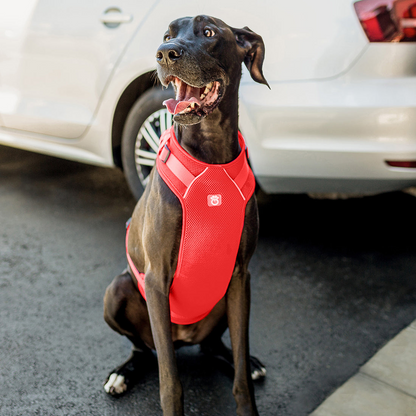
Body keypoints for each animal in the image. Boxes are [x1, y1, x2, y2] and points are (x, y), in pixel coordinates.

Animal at [102, 15, 268, 416]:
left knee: (215, 348)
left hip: (226, 295)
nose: (164, 53)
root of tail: (185, 338)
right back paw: (123, 373)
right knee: (144, 350)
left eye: (209, 33)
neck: (210, 157)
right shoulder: (157, 279)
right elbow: (170, 381)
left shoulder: (241, 275)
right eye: (167, 35)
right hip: (118, 291)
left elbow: (241, 375)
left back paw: (246, 362)